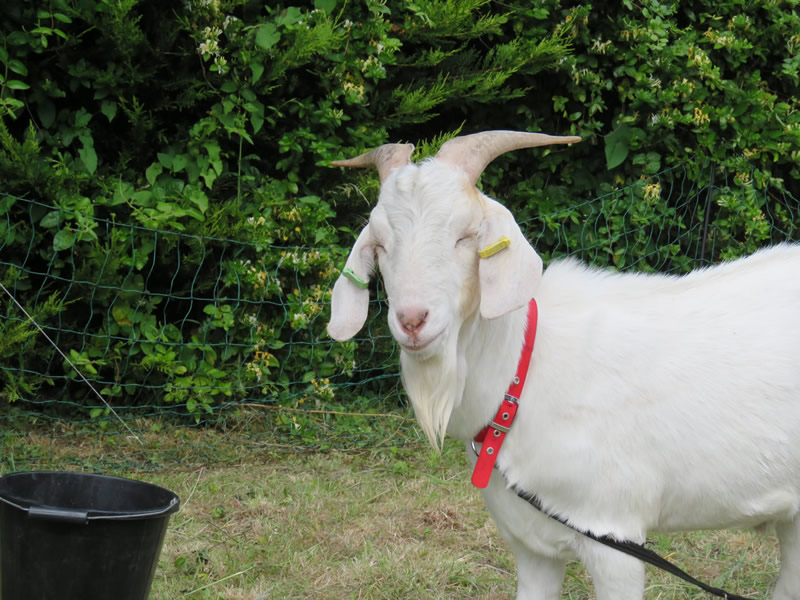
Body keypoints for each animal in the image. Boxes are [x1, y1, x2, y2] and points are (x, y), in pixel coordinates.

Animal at [324, 131, 800, 600]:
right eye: (380, 245)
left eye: (466, 235)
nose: (412, 320)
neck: (523, 375)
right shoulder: (531, 544)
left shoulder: (614, 536)